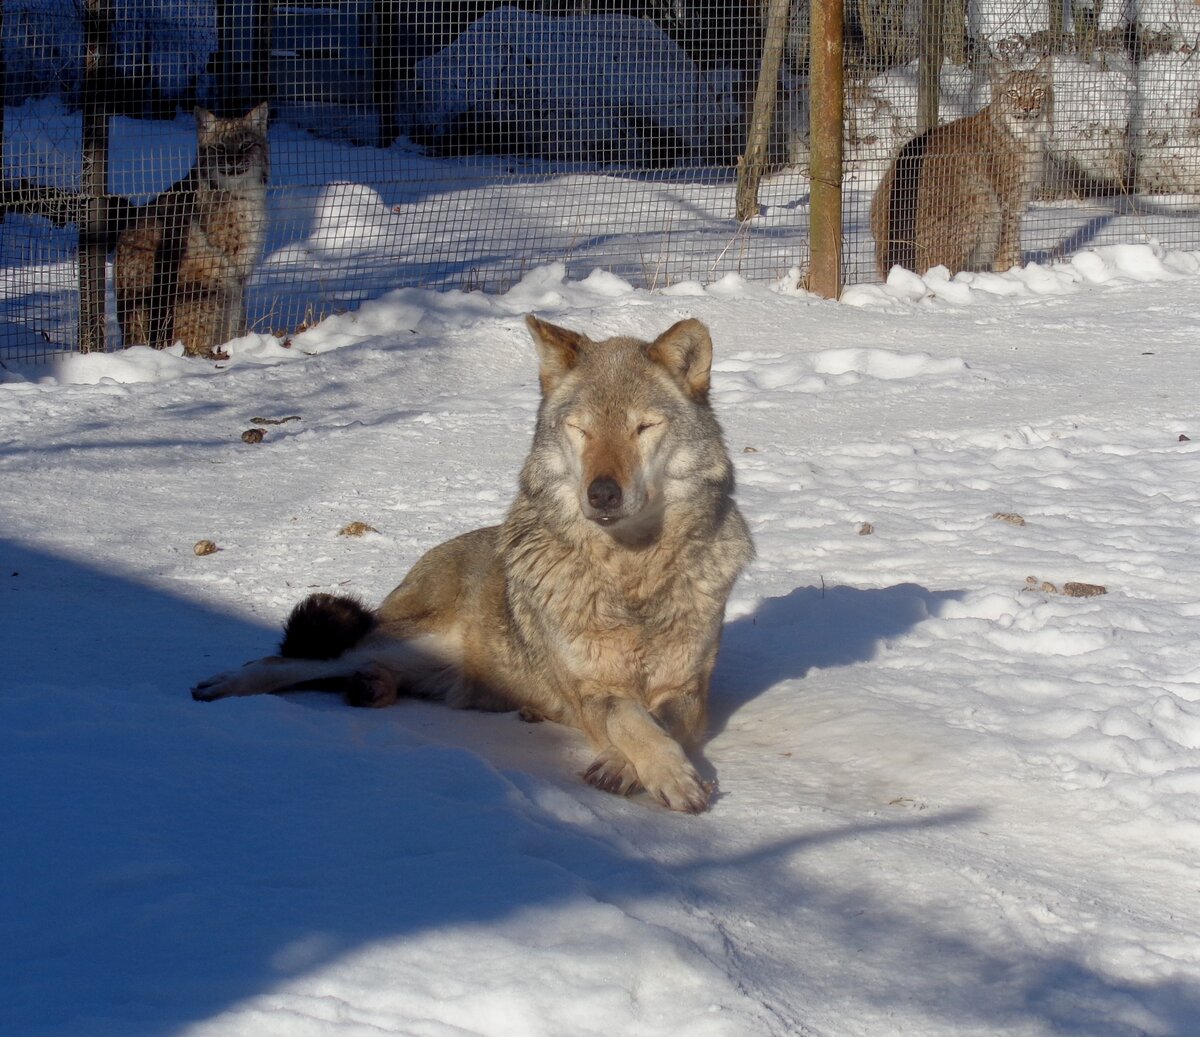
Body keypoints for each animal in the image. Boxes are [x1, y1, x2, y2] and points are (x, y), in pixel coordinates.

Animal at [194, 314, 748, 811]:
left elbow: (658, 724)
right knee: (286, 661)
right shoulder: (592, 690)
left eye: (643, 427)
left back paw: (374, 687)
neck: (632, 577)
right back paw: (229, 684)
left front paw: (630, 768)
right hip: (405, 639)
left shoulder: (688, 692)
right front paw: (667, 774)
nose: (603, 493)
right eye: (582, 430)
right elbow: (630, 720)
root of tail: (427, 560)